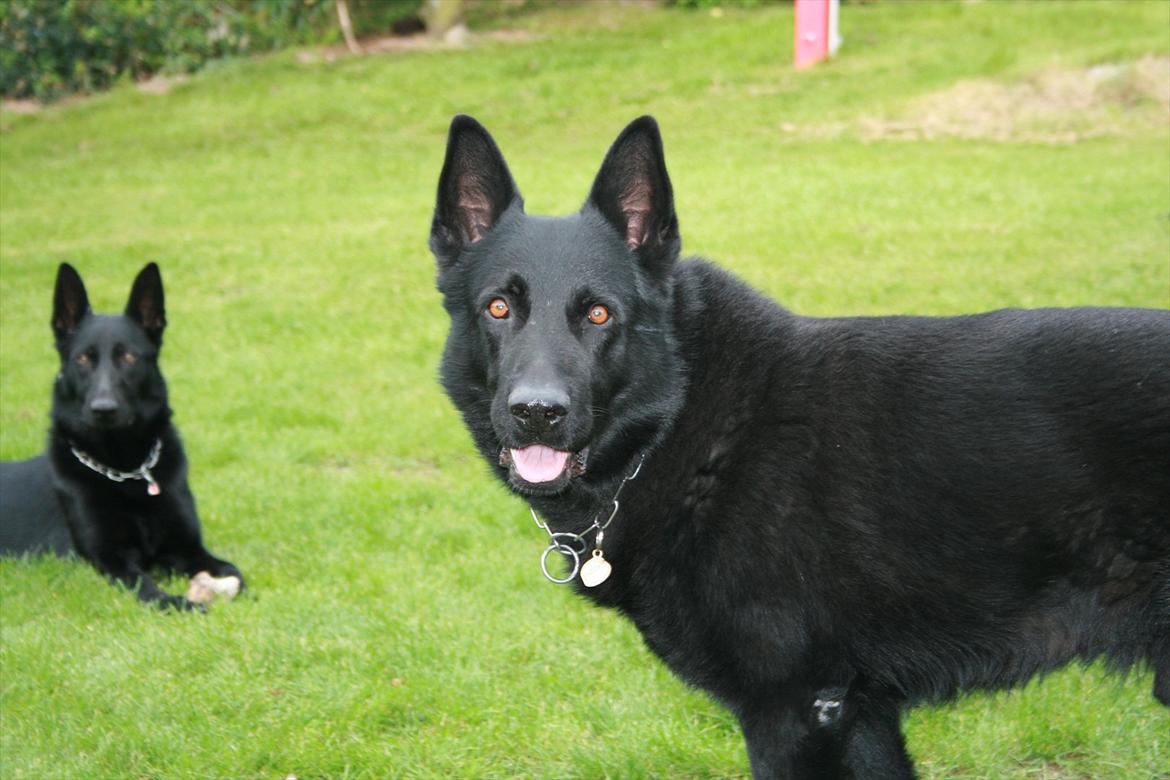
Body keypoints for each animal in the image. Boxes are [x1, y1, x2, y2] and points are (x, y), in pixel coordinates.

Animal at [0, 265, 242, 612]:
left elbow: (233, 571)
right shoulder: (112, 560)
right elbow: (151, 590)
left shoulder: (186, 547)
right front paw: (183, 603)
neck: (126, 471)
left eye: (128, 357)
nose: (103, 409)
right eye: (83, 359)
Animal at [430, 117, 1170, 780]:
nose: (537, 413)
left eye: (598, 313)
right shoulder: (857, 714)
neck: (696, 420)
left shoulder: (793, 711)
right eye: (499, 308)